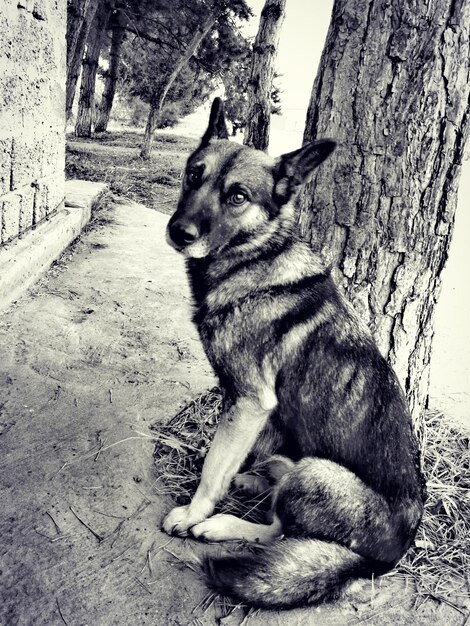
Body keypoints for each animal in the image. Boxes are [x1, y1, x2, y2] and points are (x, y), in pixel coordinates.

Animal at [162, 98, 426, 608]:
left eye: (237, 196)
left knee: (278, 531)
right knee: (276, 496)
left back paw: (223, 523)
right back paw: (259, 478)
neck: (255, 257)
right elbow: (224, 457)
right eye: (192, 176)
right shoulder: (247, 407)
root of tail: (388, 558)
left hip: (316, 473)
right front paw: (234, 475)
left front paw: (193, 512)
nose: (179, 232)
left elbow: (212, 467)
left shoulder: (250, 402)